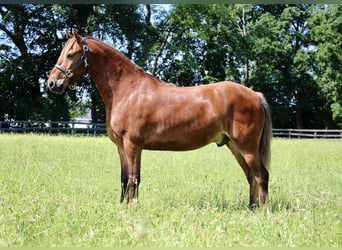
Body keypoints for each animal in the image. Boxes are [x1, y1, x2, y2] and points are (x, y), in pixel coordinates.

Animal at [47, 31, 272, 209]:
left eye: (71, 54)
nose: (52, 83)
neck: (128, 90)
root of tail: (254, 95)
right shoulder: (121, 147)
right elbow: (123, 178)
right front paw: (121, 206)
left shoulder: (133, 145)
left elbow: (134, 179)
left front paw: (133, 207)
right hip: (234, 146)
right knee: (251, 176)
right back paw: (251, 208)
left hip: (247, 147)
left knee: (261, 175)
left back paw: (263, 211)